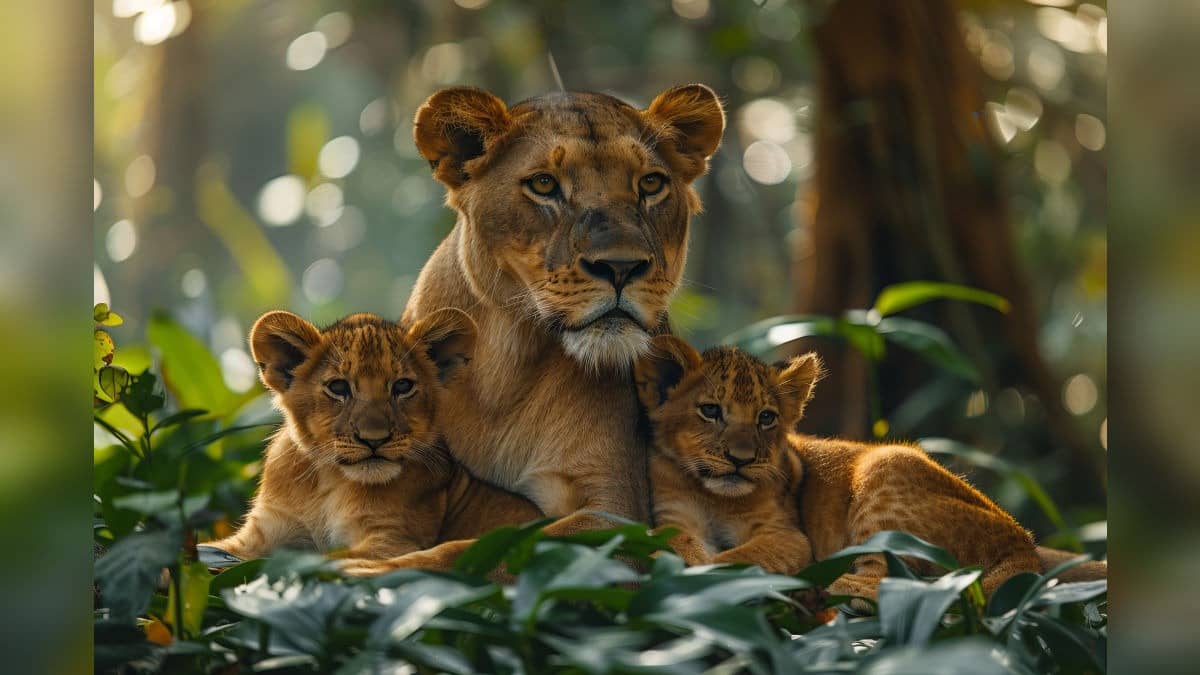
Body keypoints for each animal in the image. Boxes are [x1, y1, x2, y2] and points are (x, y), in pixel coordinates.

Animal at [201, 310, 542, 571]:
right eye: (338, 387)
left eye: (402, 386)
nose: (374, 439)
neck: (329, 481)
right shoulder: (262, 532)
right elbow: (215, 551)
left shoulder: (393, 540)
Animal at [635, 335, 1045, 600]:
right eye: (710, 410)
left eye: (766, 418)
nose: (741, 459)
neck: (714, 496)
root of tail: (1023, 541)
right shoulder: (673, 511)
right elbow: (676, 537)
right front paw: (679, 559)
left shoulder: (789, 535)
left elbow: (738, 558)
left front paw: (703, 577)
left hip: (886, 467)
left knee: (896, 585)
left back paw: (836, 586)